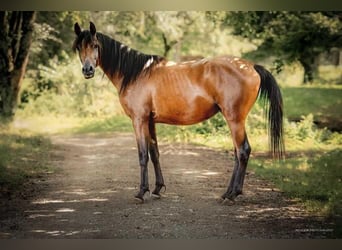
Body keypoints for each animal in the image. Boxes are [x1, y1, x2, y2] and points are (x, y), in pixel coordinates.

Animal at [72, 22, 284, 203]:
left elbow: (142, 155)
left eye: (95, 45)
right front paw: (157, 189)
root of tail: (250, 66)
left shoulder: (139, 120)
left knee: (243, 151)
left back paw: (233, 194)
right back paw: (227, 193)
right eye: (79, 47)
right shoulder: (150, 121)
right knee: (237, 153)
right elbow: (154, 153)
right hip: (234, 121)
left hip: (235, 120)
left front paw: (141, 192)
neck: (136, 73)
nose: (87, 70)